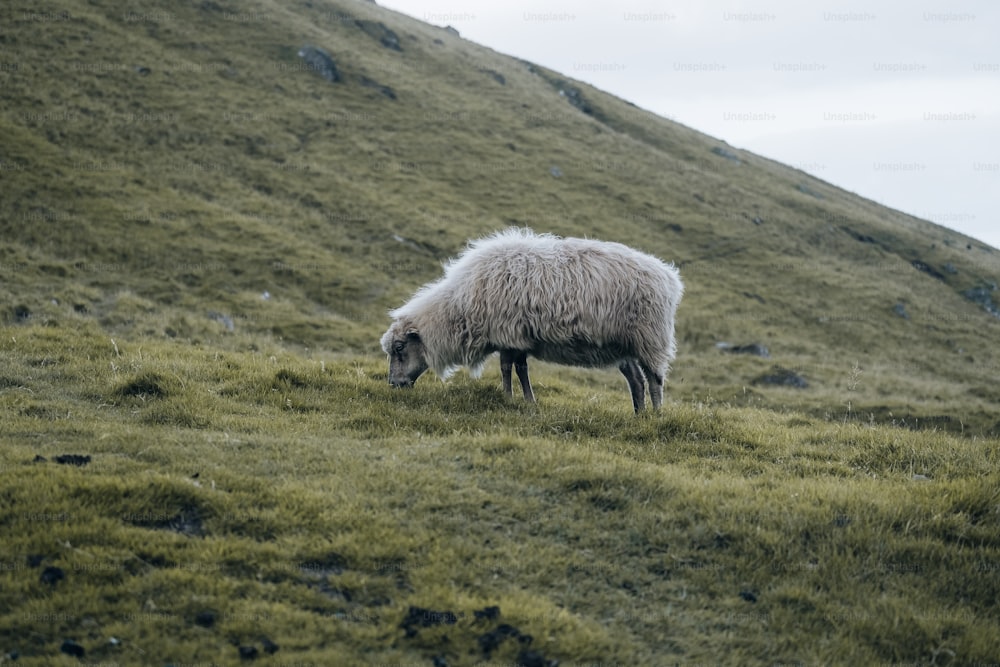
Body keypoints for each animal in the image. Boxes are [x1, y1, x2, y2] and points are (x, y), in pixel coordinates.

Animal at [378, 227, 684, 410]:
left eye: (400, 348)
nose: (393, 385)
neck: (459, 306)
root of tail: (669, 277)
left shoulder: (507, 331)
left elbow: (507, 368)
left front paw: (508, 398)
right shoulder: (517, 336)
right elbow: (520, 368)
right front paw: (527, 401)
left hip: (650, 337)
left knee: (655, 379)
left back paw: (656, 416)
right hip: (624, 345)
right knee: (636, 379)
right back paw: (638, 415)